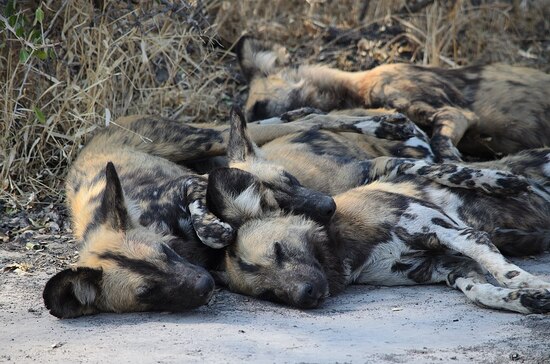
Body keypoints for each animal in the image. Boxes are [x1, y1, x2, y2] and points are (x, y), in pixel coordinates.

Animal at [210, 109, 550, 314]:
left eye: (279, 250)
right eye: (268, 293)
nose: (305, 294)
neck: (345, 247)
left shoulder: (454, 233)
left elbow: (505, 271)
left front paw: (534, 285)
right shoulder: (448, 267)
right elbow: (480, 292)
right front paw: (527, 300)